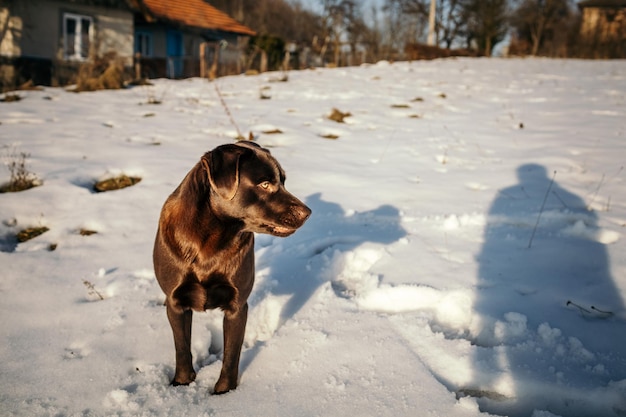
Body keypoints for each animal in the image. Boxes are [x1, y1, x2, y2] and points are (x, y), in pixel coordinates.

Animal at [154, 142, 310, 394]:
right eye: (264, 184)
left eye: (283, 181)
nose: (307, 213)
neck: (210, 241)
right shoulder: (176, 303)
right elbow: (182, 347)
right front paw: (182, 382)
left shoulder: (237, 306)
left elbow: (231, 354)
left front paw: (224, 392)